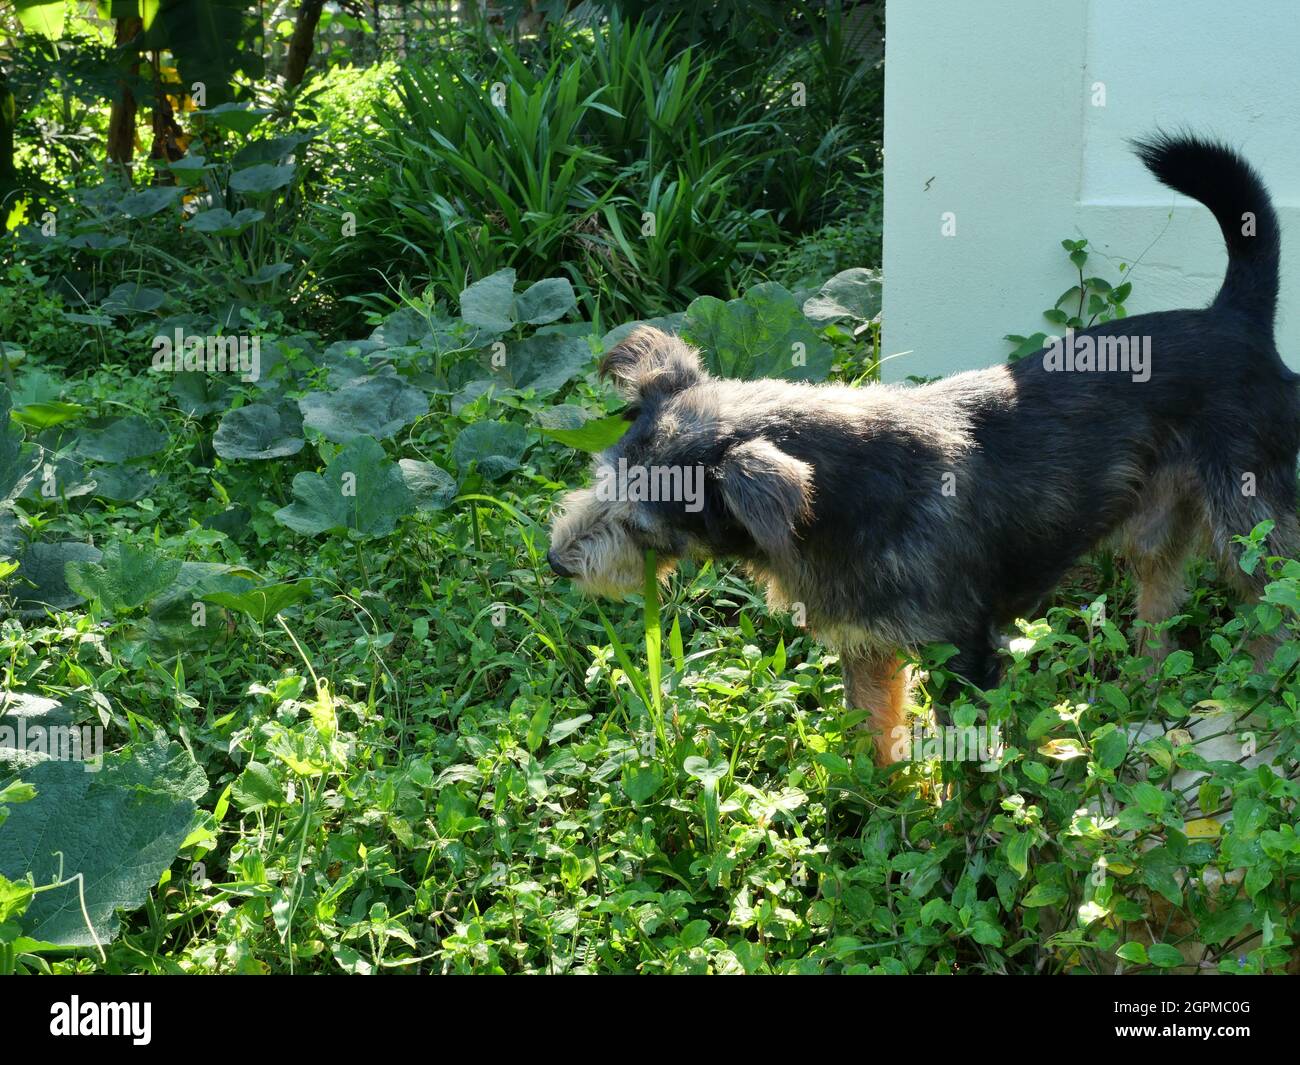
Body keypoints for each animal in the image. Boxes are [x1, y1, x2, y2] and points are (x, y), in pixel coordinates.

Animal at [546, 133, 1300, 764]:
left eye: (641, 524)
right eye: (601, 481)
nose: (554, 562)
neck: (835, 501)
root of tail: (1234, 317)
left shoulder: (965, 654)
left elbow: (968, 770)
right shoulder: (870, 647)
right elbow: (873, 739)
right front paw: (878, 810)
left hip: (1254, 531)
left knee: (1275, 615)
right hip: (1156, 534)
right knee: (1160, 615)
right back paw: (1150, 692)